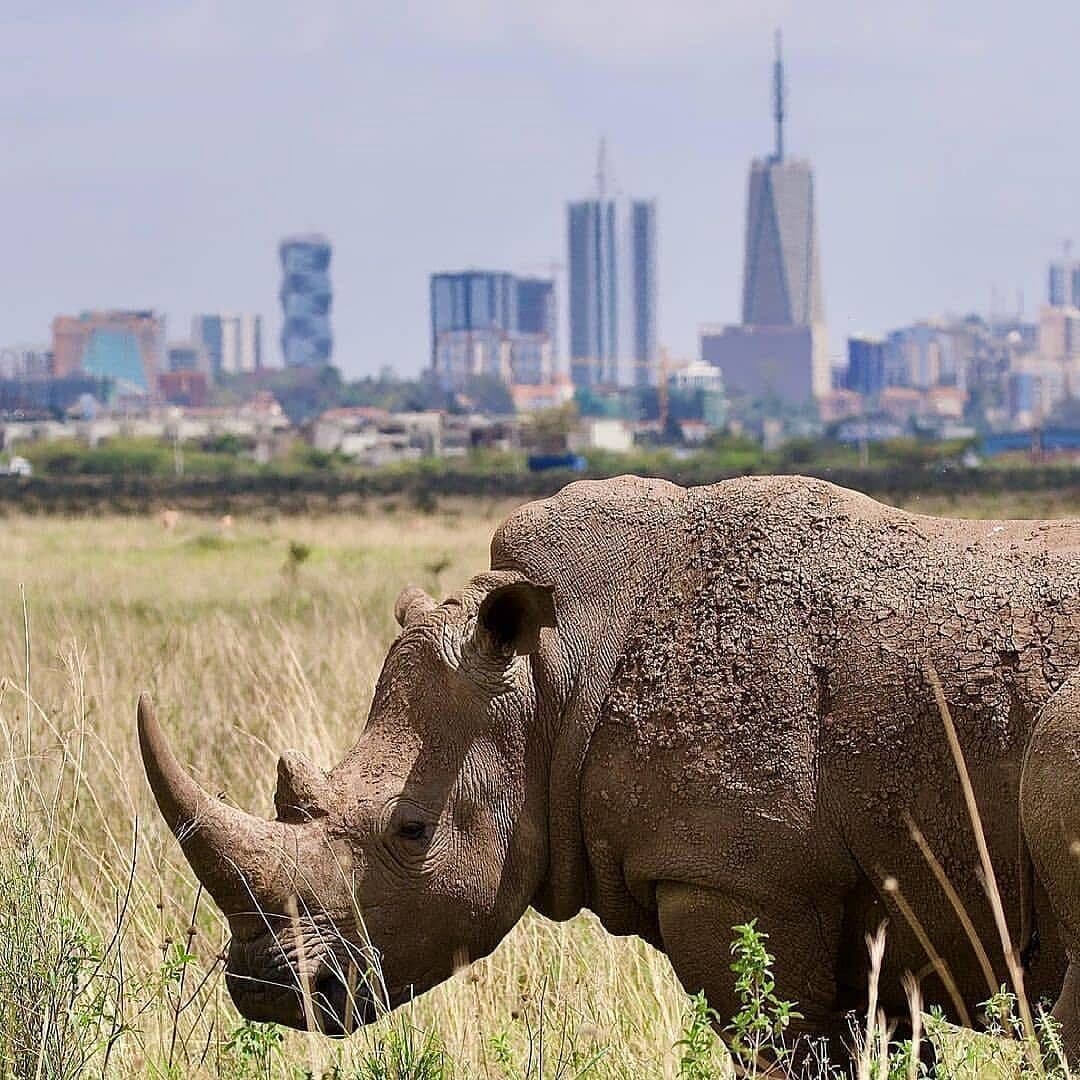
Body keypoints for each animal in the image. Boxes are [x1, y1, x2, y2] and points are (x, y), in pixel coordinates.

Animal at [138, 474, 1080, 1067]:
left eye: (410, 832)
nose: (268, 989)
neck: (552, 676)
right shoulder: (869, 912)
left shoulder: (738, 884)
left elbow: (785, 1044)